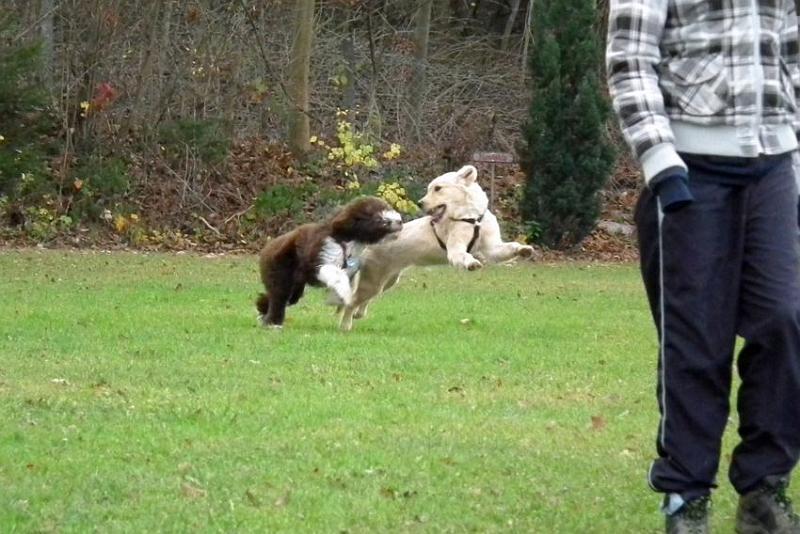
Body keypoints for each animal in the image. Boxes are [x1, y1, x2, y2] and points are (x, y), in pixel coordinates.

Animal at [256, 196, 402, 328]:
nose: (400, 221)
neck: (345, 239)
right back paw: (273, 323)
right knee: (279, 297)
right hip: (280, 271)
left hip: (295, 286)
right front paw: (345, 296)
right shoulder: (324, 256)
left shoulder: (351, 267)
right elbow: (336, 275)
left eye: (389, 209)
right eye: (380, 219)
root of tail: (267, 248)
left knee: (282, 298)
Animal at [336, 165, 534, 331]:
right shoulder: (455, 249)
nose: (419, 203)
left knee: (364, 299)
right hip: (373, 280)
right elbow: (463, 255)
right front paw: (471, 263)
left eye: (438, 188)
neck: (471, 217)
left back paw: (359, 313)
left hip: (387, 281)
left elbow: (509, 247)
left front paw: (524, 250)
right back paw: (346, 325)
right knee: (352, 301)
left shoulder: (491, 248)